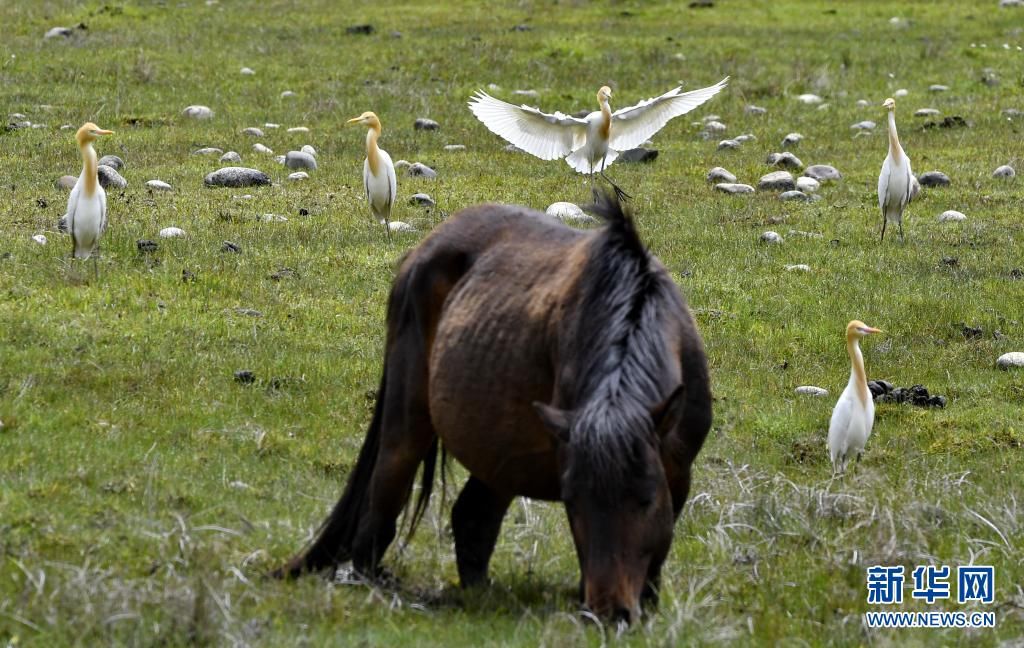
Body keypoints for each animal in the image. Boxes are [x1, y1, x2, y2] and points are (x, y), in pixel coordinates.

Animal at [278, 190, 712, 622]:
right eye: (574, 504)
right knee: (383, 505)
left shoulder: (676, 472)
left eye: (645, 499)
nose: (609, 613)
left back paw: (480, 594)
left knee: (472, 516)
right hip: (411, 421)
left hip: (501, 450)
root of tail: (422, 249)